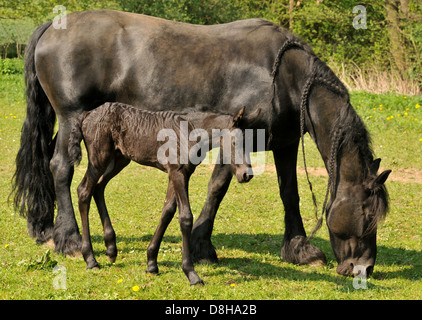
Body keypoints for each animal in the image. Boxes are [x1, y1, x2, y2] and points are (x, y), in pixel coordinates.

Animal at [68, 102, 258, 284]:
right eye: (235, 143)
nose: (246, 174)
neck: (189, 131)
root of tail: (87, 114)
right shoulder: (178, 172)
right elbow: (185, 217)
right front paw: (191, 274)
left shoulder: (179, 174)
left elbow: (167, 211)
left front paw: (151, 263)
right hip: (99, 158)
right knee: (84, 191)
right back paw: (90, 259)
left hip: (119, 159)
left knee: (99, 187)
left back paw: (111, 249)